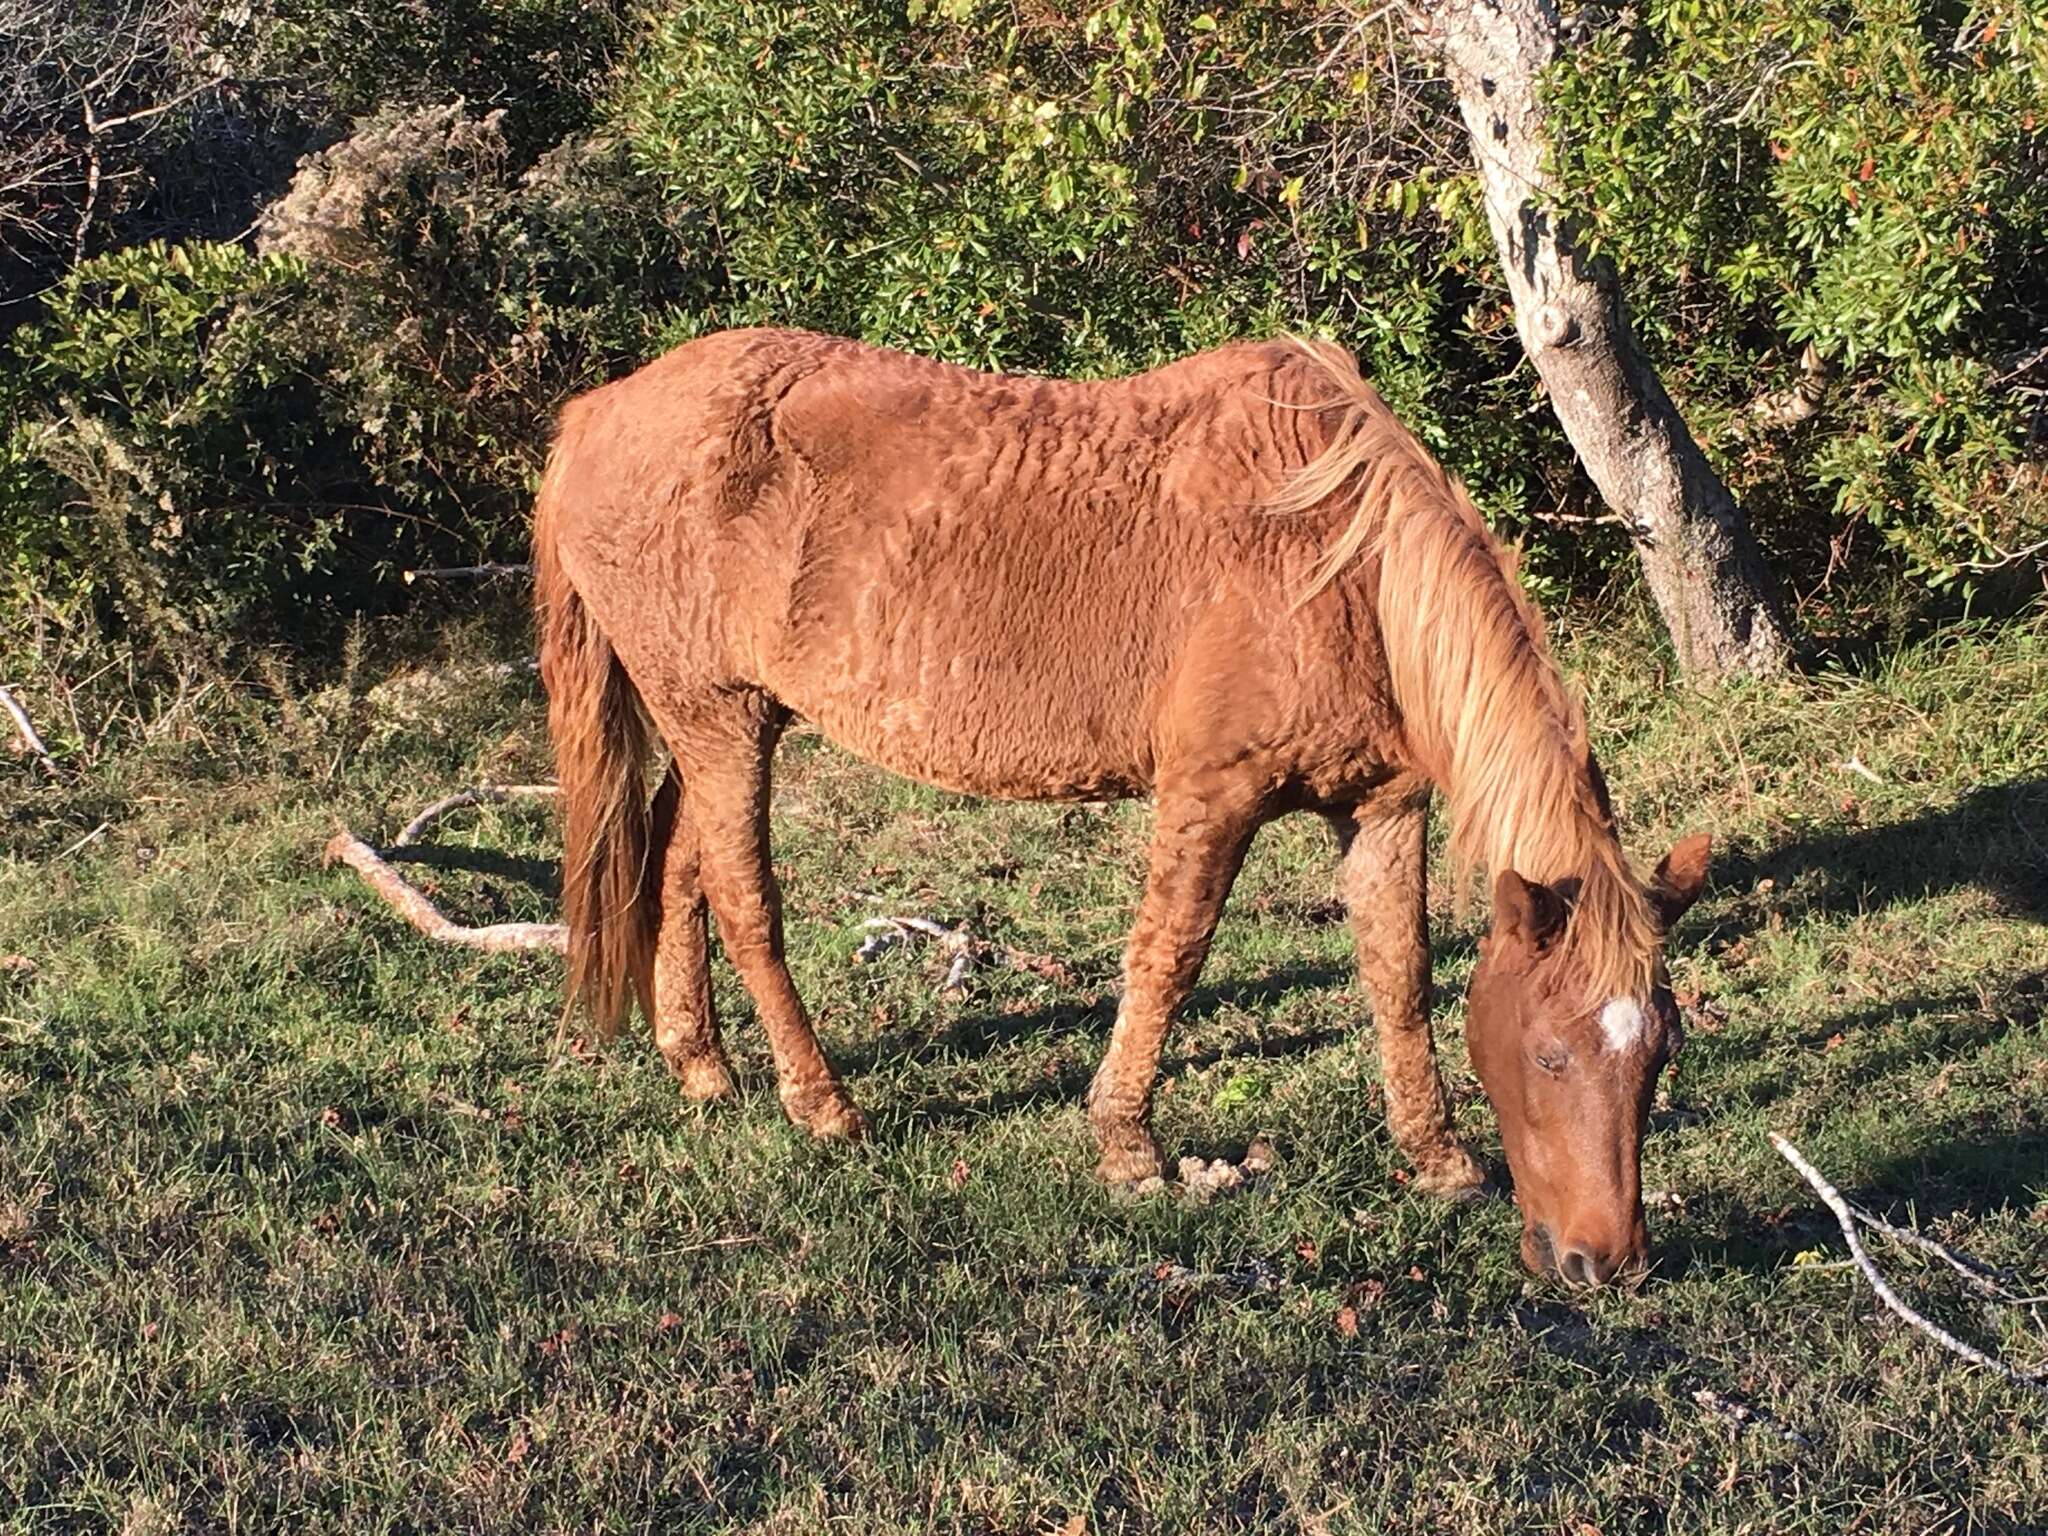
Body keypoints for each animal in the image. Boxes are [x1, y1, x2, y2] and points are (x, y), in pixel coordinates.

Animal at [532, 331, 1712, 1294]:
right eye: (1550, 1056)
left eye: (1658, 1054)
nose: (1605, 1262)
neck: (1337, 560)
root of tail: (596, 409)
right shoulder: (1211, 793)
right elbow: (1170, 957)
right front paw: (1127, 1147)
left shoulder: (1380, 808)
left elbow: (1398, 973)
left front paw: (1437, 1160)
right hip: (720, 721)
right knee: (743, 900)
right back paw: (820, 1104)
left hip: (732, 720)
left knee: (678, 870)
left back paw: (702, 1069)